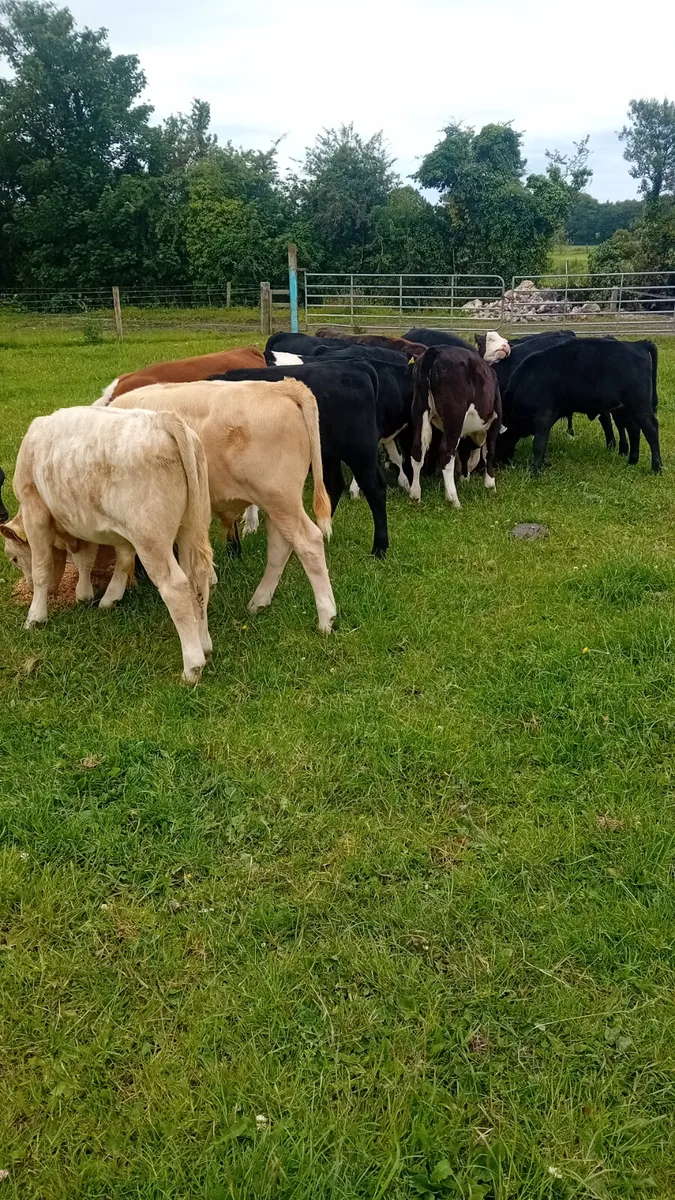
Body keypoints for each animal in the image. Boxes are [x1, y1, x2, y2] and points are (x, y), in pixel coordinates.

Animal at [1, 405, 211, 681]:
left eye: (13, 558)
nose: (24, 587)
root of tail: (162, 418)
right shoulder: (98, 525)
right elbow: (105, 559)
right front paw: (94, 596)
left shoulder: (34, 510)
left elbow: (41, 569)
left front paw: (36, 615)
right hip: (192, 527)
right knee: (198, 577)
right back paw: (204, 642)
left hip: (150, 538)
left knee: (176, 586)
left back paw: (192, 664)